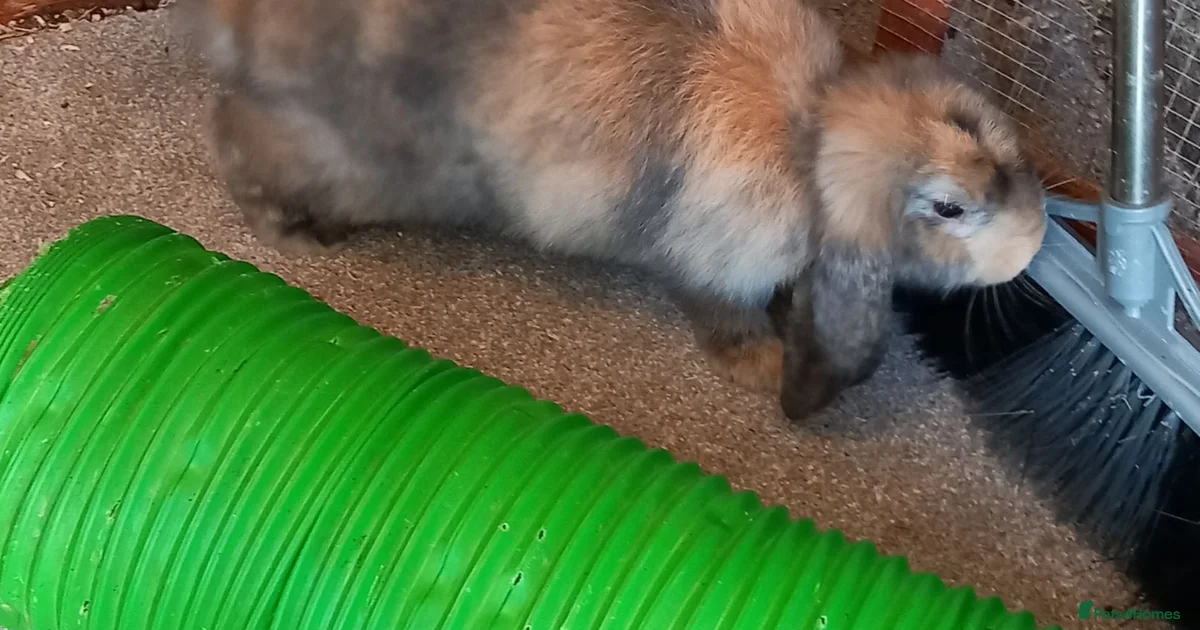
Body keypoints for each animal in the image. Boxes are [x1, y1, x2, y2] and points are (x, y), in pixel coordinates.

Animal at [179, 0, 1048, 423]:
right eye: (949, 207)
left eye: (989, 131)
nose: (1038, 240)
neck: (812, 137)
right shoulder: (715, 268)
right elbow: (725, 320)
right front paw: (764, 368)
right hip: (341, 156)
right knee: (231, 133)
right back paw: (287, 230)